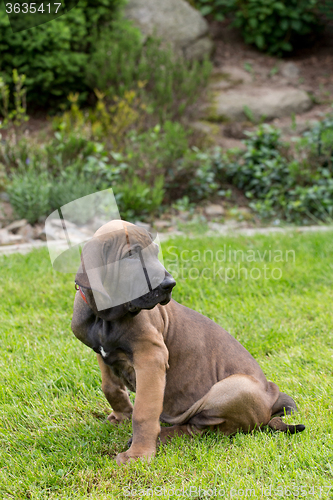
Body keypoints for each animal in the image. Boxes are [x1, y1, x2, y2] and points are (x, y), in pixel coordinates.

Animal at [70, 222, 304, 464]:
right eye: (130, 256)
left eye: (155, 252)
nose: (169, 284)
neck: (106, 317)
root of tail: (273, 395)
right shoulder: (102, 353)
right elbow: (110, 387)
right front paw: (122, 415)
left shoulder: (151, 357)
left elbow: (144, 412)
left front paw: (138, 454)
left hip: (233, 388)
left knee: (200, 428)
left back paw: (161, 436)